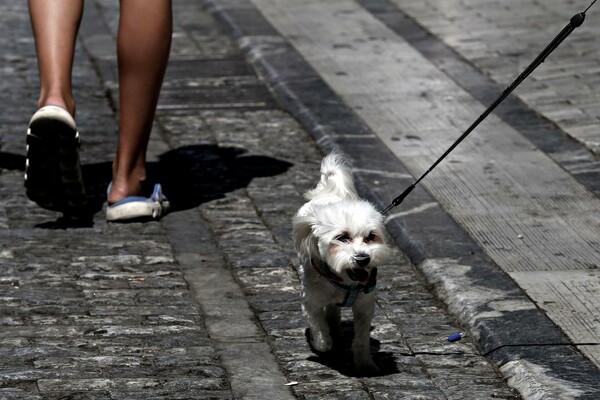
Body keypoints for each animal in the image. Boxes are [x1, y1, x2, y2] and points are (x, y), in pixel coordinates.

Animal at [292, 152, 392, 376]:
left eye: (371, 236)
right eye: (342, 238)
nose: (363, 259)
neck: (345, 281)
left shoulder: (365, 305)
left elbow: (361, 339)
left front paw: (365, 364)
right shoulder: (310, 301)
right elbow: (319, 328)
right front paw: (322, 343)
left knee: (333, 310)